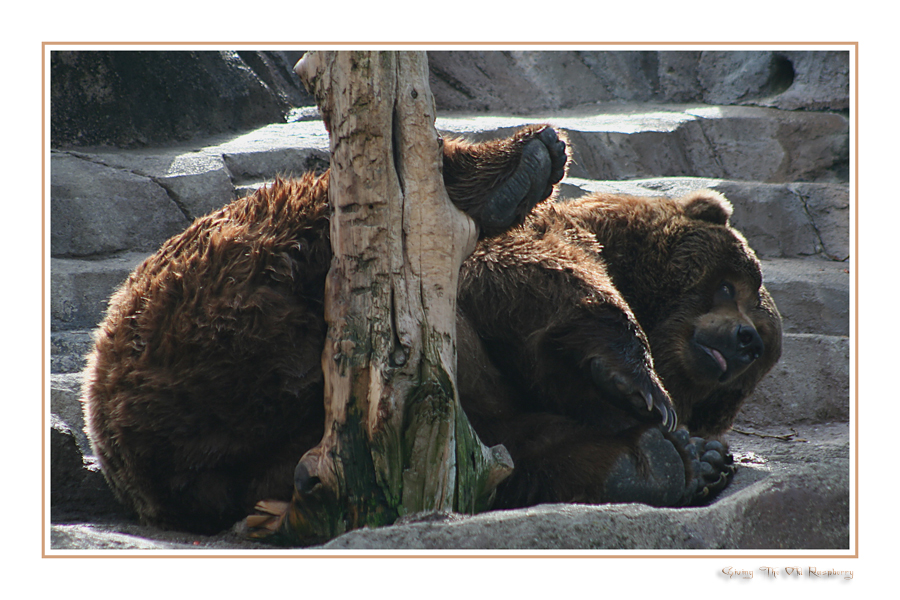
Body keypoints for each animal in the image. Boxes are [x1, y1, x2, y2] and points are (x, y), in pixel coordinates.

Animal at [79, 125, 780, 536]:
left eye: (758, 356)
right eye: (730, 285)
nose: (745, 339)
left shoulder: (496, 423)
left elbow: (525, 452)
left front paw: (683, 458)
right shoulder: (523, 260)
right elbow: (539, 277)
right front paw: (643, 388)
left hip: (246, 430)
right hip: (207, 293)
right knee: (345, 200)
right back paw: (520, 162)